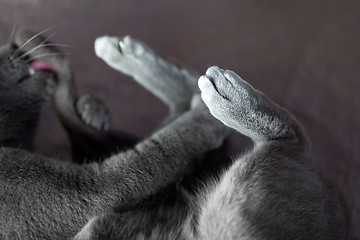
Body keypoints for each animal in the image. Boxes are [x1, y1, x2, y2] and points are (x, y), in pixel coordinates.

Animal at [0, 30, 346, 240]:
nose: (13, 44)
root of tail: (336, 216)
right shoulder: (92, 188)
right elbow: (160, 147)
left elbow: (70, 107)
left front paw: (88, 104)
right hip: (230, 216)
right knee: (287, 140)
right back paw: (213, 100)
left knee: (290, 137)